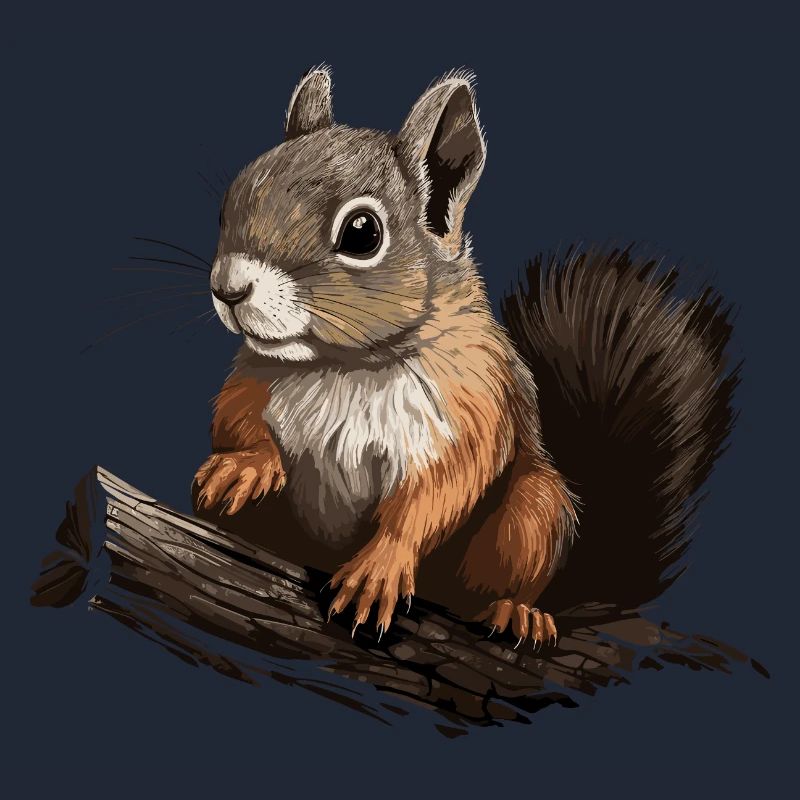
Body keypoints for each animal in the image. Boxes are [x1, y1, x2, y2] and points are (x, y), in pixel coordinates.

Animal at [192, 67, 738, 647]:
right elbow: (234, 416)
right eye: (233, 198)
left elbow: (440, 491)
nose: (228, 289)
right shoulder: (255, 376)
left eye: (362, 233)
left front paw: (380, 567)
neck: (345, 365)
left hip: (535, 511)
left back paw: (517, 611)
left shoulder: (468, 404)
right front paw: (246, 466)